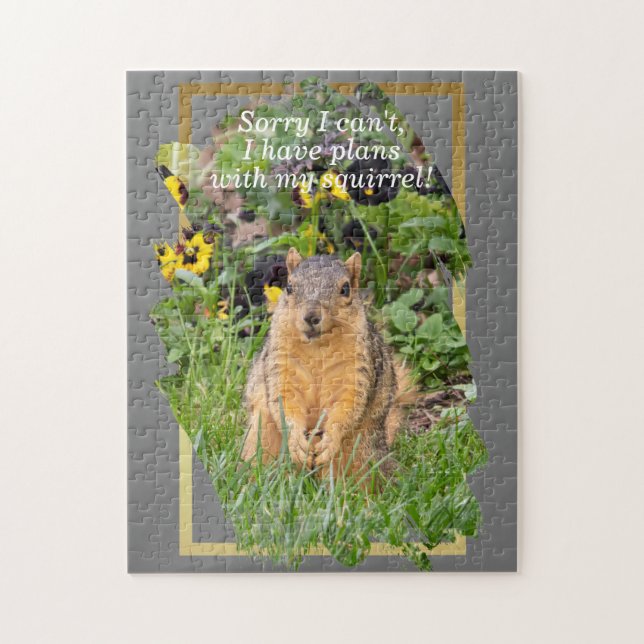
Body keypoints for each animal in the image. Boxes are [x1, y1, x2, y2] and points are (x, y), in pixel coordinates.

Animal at [242, 247, 411, 477]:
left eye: (345, 289)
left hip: (360, 452)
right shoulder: (281, 365)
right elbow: (284, 402)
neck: (317, 349)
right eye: (289, 287)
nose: (311, 316)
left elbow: (347, 406)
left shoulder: (356, 369)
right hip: (263, 436)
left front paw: (330, 440)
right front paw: (296, 441)